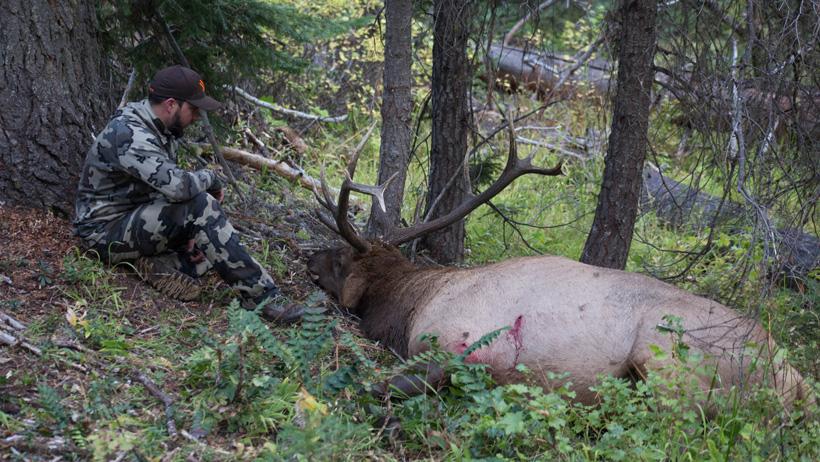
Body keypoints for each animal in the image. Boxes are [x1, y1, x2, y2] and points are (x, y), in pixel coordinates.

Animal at [307, 121, 813, 411]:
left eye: (340, 256)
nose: (310, 258)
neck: (411, 304)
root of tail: (795, 379)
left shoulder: (459, 345)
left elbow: (391, 384)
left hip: (669, 358)